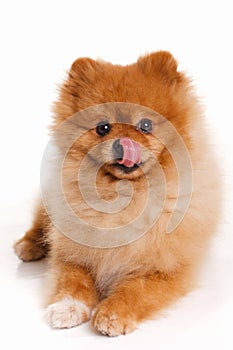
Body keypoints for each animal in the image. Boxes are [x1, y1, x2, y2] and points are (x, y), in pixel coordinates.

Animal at [13, 52, 221, 336]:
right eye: (103, 127)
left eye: (146, 124)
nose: (123, 144)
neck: (123, 196)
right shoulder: (73, 253)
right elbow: (72, 281)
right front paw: (68, 308)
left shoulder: (167, 268)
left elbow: (139, 290)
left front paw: (113, 313)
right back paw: (28, 245)